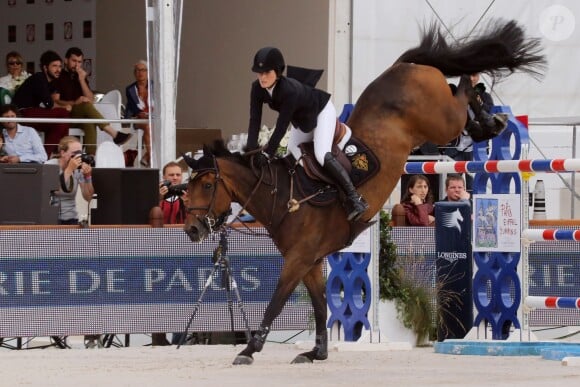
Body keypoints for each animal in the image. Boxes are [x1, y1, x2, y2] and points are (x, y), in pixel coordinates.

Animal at [181, 19, 544, 366]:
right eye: (188, 186)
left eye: (208, 185)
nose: (192, 230)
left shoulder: (298, 260)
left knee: (462, 93)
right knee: (459, 93)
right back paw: (486, 121)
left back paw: (486, 107)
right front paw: (317, 352)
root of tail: (403, 67)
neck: (282, 197)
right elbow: (320, 305)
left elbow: (275, 303)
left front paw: (249, 349)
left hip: (441, 122)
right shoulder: (310, 261)